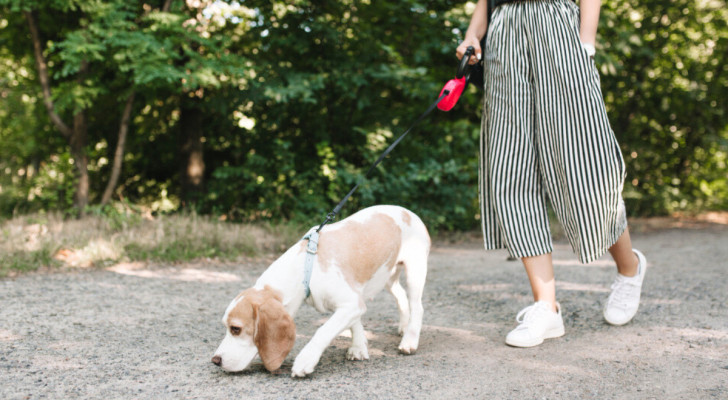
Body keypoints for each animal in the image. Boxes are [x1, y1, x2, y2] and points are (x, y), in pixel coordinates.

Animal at [210, 205, 430, 376]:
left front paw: (306, 360)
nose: (215, 361)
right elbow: (355, 324)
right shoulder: (354, 302)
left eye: (236, 329)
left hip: (414, 272)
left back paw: (410, 340)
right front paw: (358, 347)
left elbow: (323, 330)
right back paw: (403, 327)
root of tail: (409, 212)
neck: (305, 267)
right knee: (402, 297)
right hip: (387, 277)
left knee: (417, 306)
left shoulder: (351, 304)